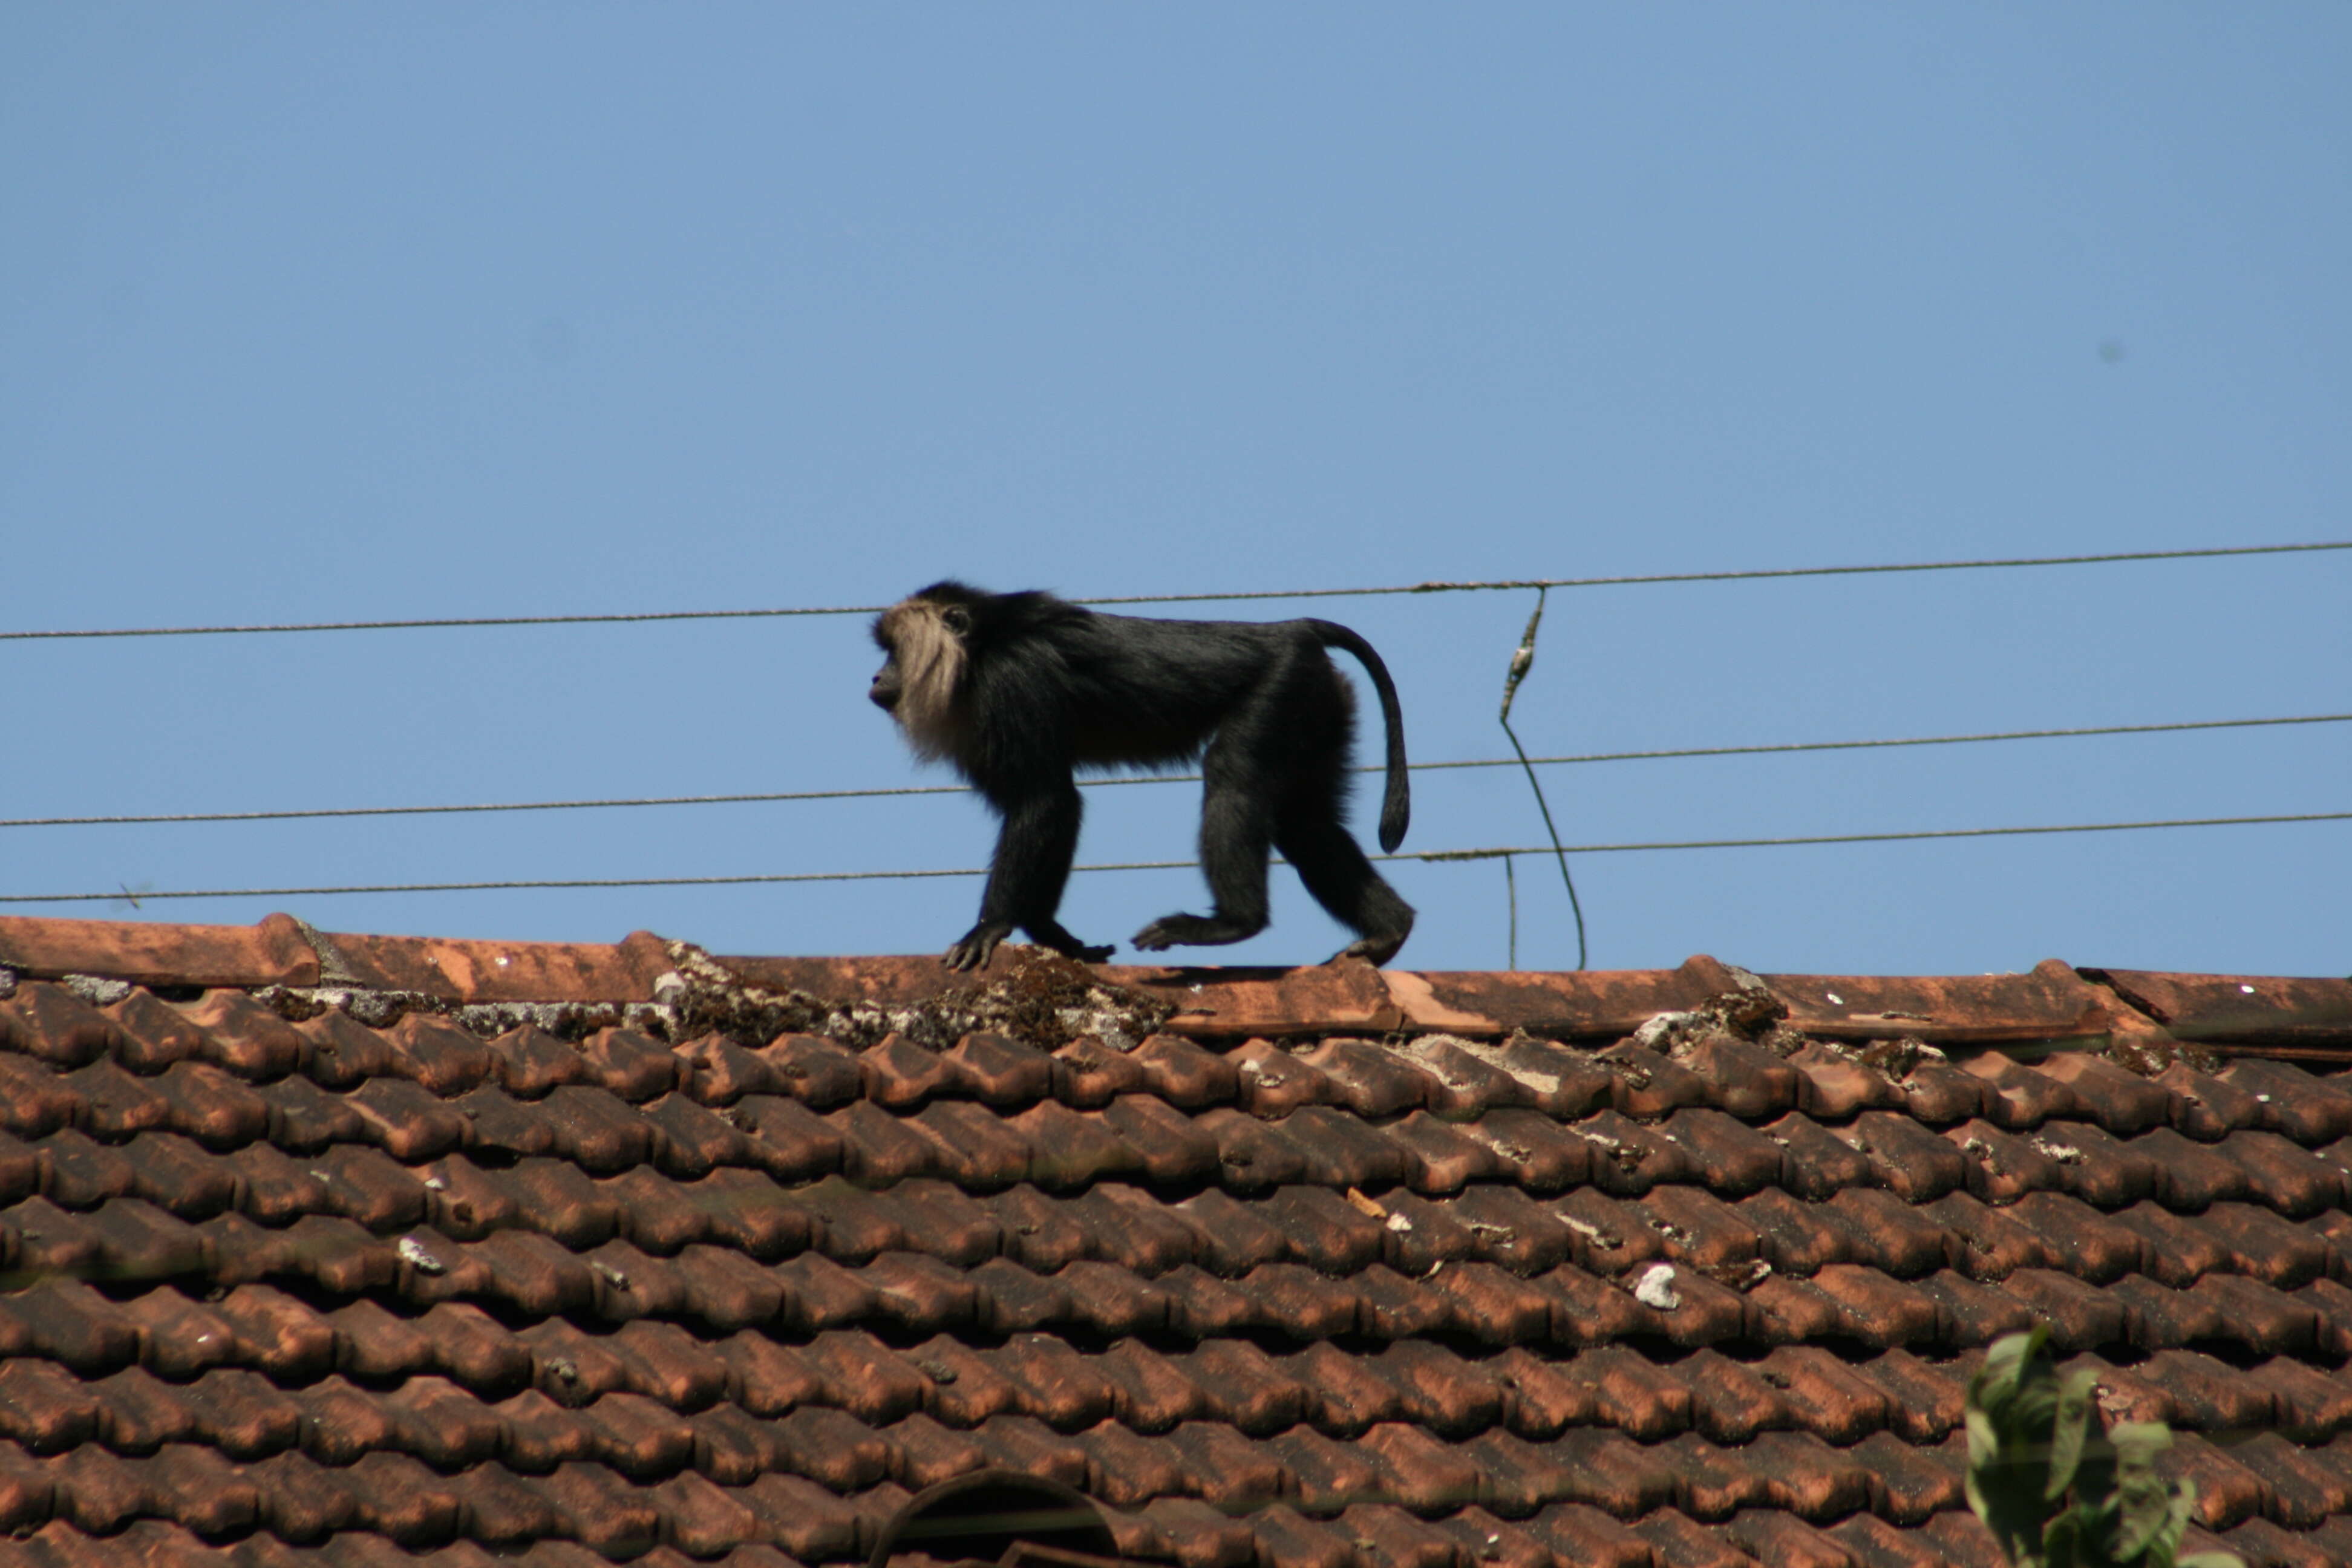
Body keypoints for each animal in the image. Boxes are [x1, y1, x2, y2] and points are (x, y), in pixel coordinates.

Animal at [870, 583, 1402, 973]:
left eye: (892, 652)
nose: (876, 678)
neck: (981, 647)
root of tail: (1290, 632)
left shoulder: (1009, 682)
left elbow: (1045, 801)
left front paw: (992, 926)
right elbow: (1053, 806)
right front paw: (1055, 936)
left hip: (1282, 686)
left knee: (1233, 775)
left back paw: (1235, 922)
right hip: (1320, 699)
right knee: (1305, 822)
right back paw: (1389, 931)